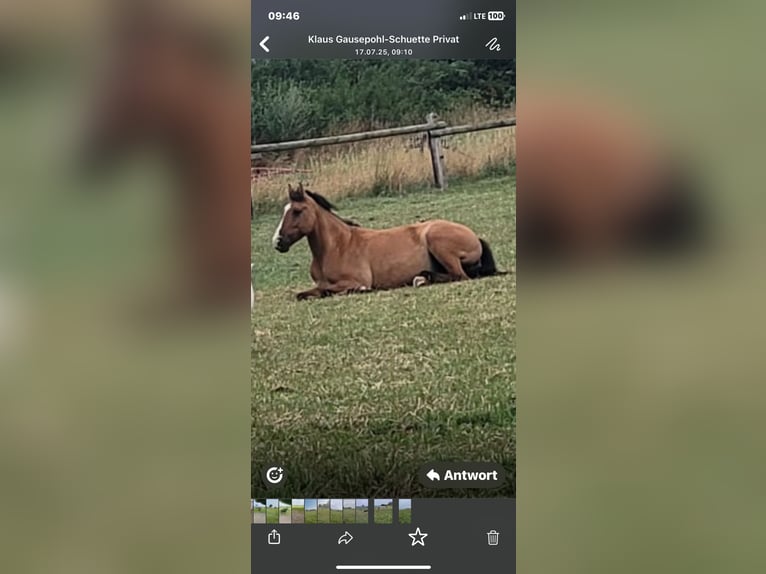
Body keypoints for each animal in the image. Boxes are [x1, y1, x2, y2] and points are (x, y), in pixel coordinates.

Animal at [271, 183, 504, 300]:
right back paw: (422, 277)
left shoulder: (357, 280)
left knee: (460, 276)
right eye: (284, 210)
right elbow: (304, 294)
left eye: (297, 211)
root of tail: (476, 237)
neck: (337, 246)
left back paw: (422, 279)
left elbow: (336, 290)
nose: (278, 242)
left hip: (437, 241)